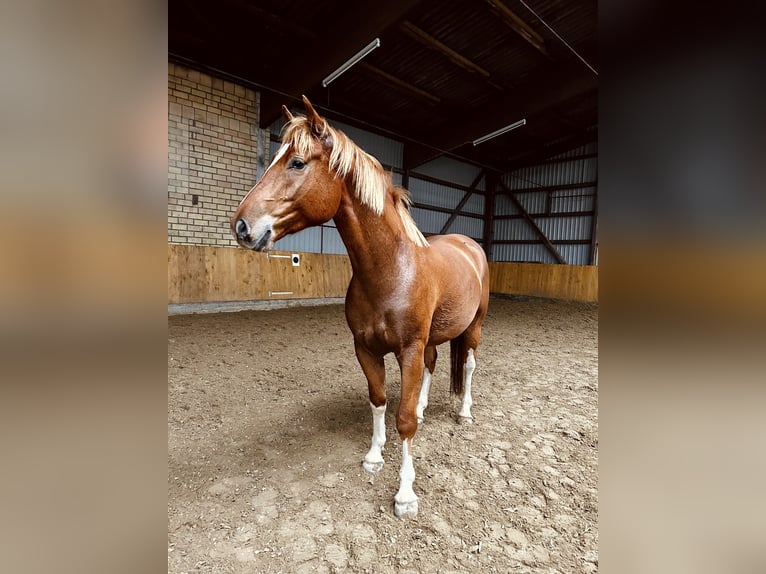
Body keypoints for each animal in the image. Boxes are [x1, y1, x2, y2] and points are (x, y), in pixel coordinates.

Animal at [231, 97, 488, 520]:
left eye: (296, 162)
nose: (241, 226)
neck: (390, 271)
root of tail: (470, 244)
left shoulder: (408, 350)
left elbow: (403, 421)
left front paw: (405, 494)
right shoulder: (366, 349)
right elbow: (380, 399)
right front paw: (373, 456)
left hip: (474, 327)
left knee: (467, 366)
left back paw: (465, 413)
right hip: (435, 337)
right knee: (434, 364)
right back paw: (424, 405)